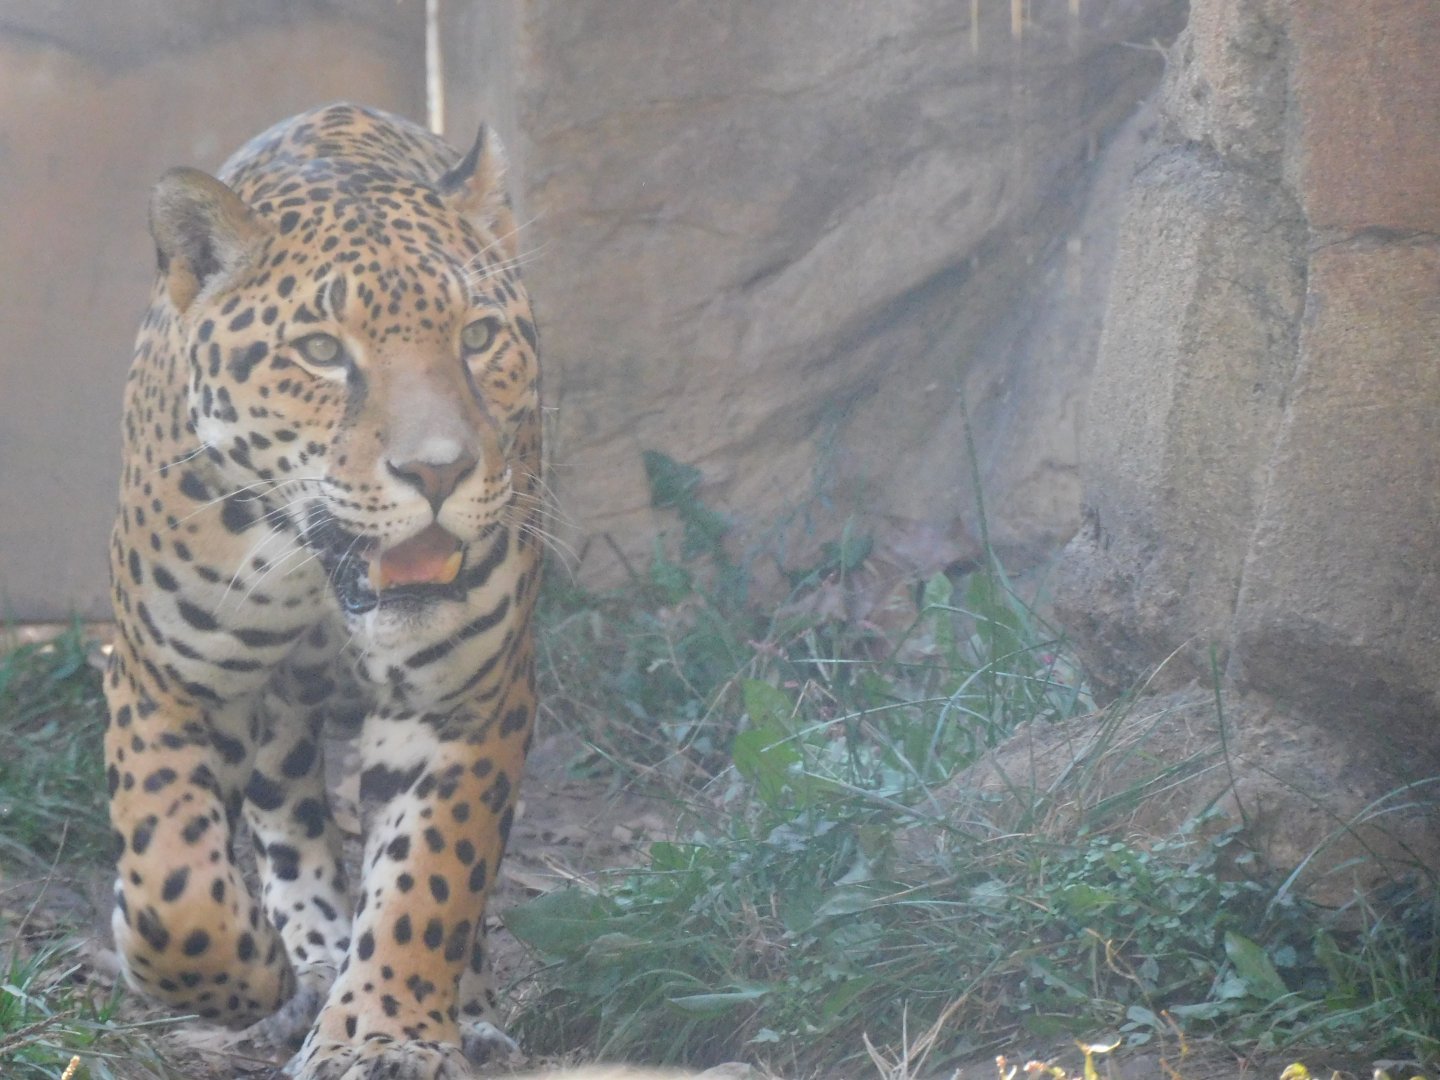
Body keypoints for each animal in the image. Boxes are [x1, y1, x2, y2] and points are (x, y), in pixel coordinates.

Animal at [103, 102, 542, 1080]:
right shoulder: (162, 678)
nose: (438, 471)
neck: (314, 572)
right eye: (318, 353)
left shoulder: (463, 700)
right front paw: (256, 975)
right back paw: (306, 960)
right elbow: (173, 886)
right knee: (286, 811)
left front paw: (385, 1032)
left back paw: (461, 1009)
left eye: (477, 337)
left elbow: (431, 879)